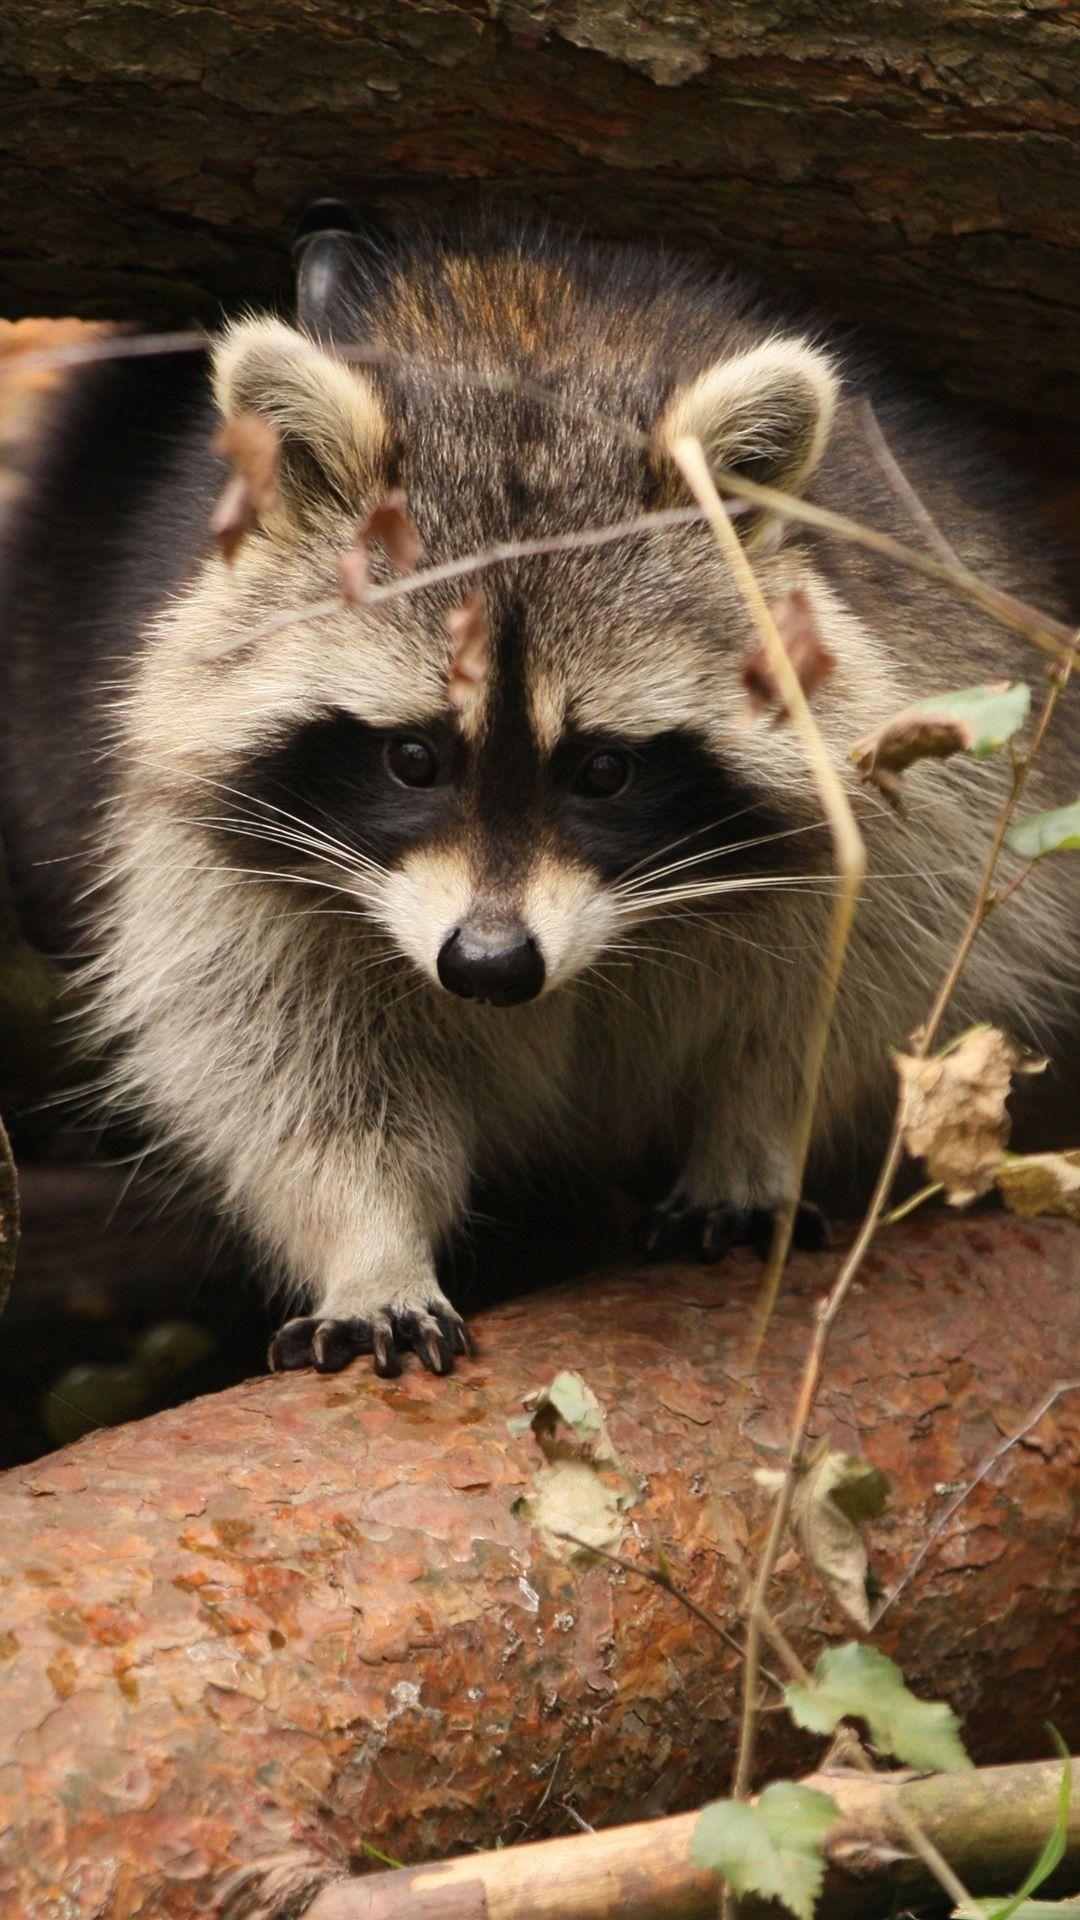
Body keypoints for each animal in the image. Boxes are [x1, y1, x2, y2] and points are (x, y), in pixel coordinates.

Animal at [1, 217, 1076, 1378]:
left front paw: (754, 1139)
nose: (489, 966)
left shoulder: (913, 766)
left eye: (603, 770)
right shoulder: (208, 846)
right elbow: (280, 1066)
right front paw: (370, 1246)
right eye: (414, 758)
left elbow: (841, 1000)